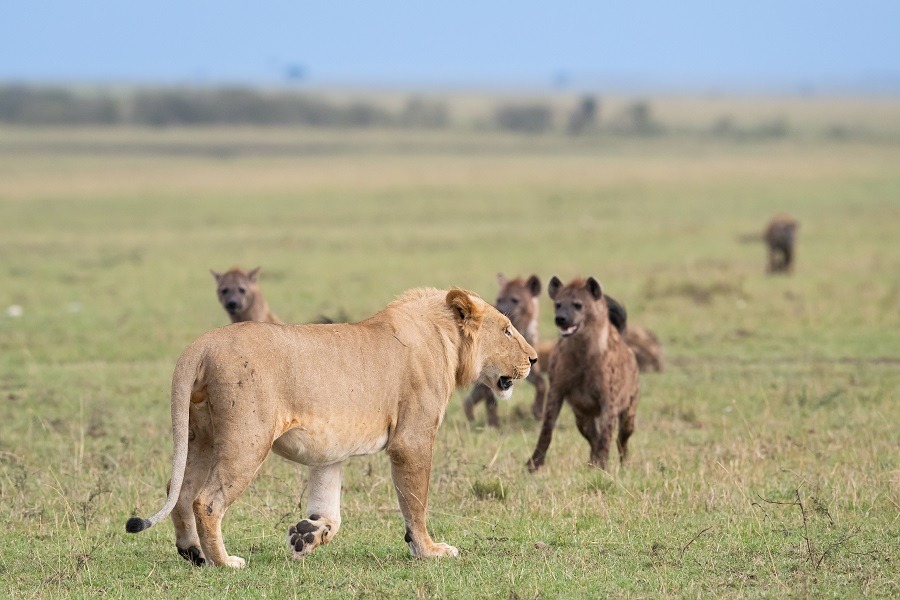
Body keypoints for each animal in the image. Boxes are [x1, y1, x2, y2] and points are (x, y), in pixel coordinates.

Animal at [125, 286, 536, 568]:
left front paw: (305, 536)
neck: (445, 339)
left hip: (202, 437)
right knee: (206, 501)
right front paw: (429, 550)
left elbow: (329, 510)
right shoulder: (412, 440)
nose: (533, 359)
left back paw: (192, 553)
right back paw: (224, 562)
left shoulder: (329, 450)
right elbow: (415, 501)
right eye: (507, 330)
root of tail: (202, 344)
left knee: (178, 490)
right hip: (247, 439)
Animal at [464, 274, 548, 424]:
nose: (502, 308)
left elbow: (541, 383)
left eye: (515, 299)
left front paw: (538, 412)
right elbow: (491, 399)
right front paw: (493, 423)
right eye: (499, 299)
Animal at [528, 278, 640, 474]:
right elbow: (547, 427)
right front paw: (534, 464)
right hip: (581, 416)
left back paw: (623, 464)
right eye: (558, 304)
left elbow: (606, 435)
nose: (561, 319)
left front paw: (603, 467)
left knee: (622, 436)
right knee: (592, 435)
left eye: (578, 305)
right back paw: (591, 463)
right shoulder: (557, 389)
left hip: (629, 408)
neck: (583, 353)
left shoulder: (609, 399)